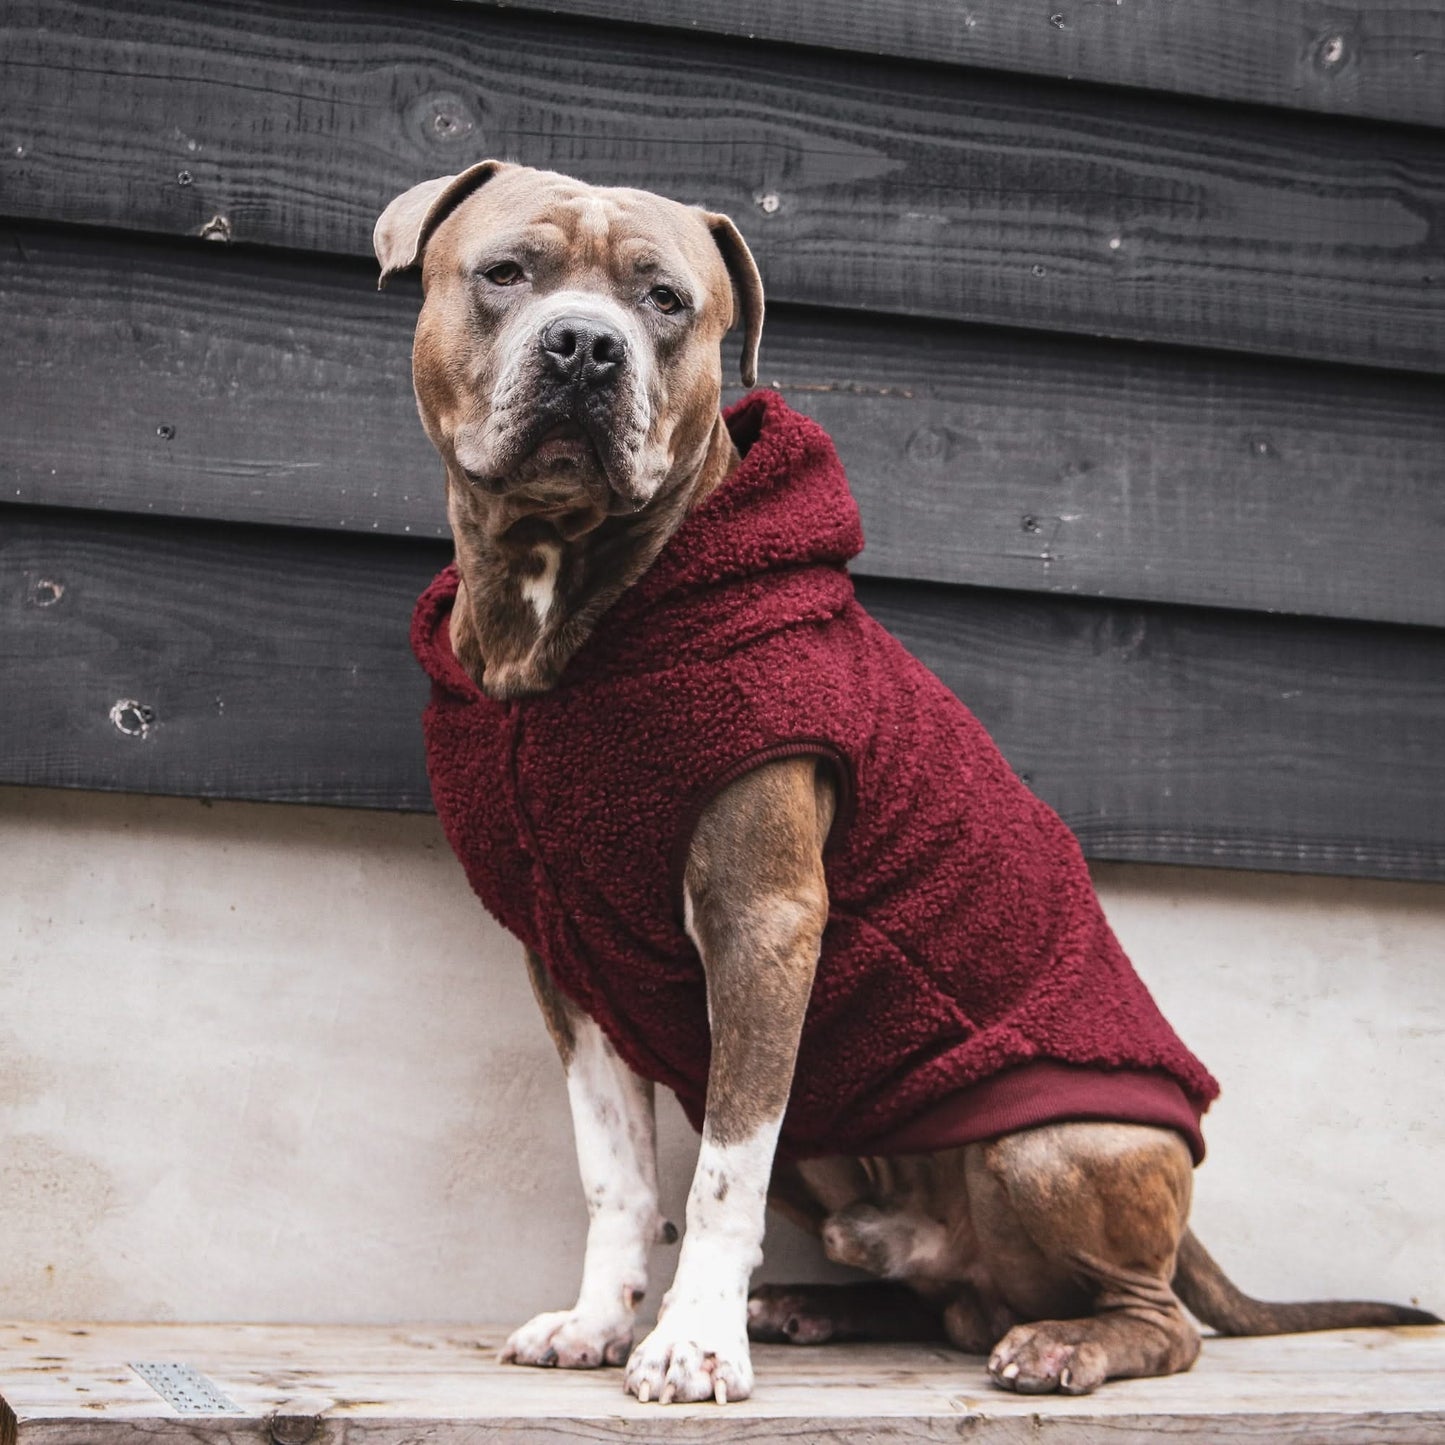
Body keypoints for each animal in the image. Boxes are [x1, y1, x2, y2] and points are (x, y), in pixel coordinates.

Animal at [372, 161, 1433, 1410]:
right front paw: (598, 1317)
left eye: (664, 299)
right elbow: (615, 1173)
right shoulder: (569, 966)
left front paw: (691, 1341)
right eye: (504, 273)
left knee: (1154, 1318)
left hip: (1047, 1144)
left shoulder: (762, 926)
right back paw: (815, 1303)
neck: (563, 598)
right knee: (945, 1297)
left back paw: (1061, 1342)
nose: (586, 345)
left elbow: (719, 1174)